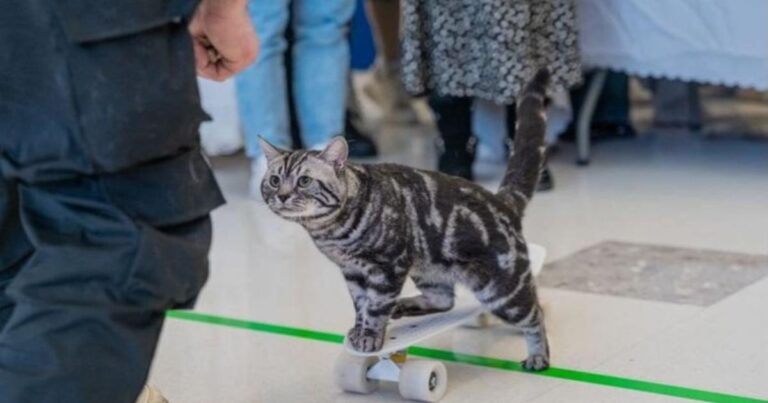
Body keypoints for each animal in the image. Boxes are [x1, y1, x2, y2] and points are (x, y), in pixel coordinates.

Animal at [258, 70, 552, 372]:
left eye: (304, 181)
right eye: (275, 180)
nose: (282, 195)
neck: (330, 232)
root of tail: (502, 200)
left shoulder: (387, 268)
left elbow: (375, 307)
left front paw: (370, 335)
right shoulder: (353, 273)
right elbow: (361, 305)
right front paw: (359, 330)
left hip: (501, 290)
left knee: (534, 313)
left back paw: (539, 355)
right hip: (428, 269)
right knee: (444, 300)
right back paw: (404, 305)